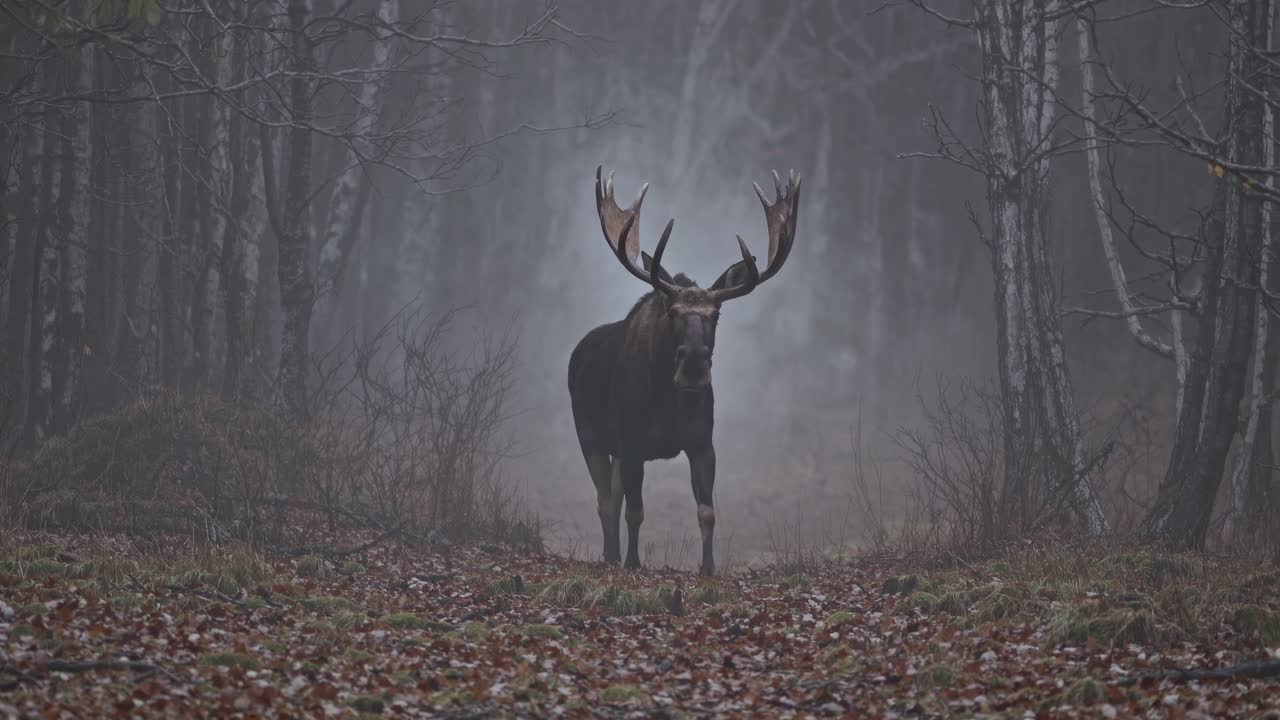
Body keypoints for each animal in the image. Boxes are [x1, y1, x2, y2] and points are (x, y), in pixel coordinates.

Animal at [568, 165, 801, 576]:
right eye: (672, 312)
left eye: (716, 314)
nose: (693, 366)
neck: (668, 404)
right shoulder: (631, 442)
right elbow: (636, 512)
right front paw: (633, 562)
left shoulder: (702, 442)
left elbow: (706, 512)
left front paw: (707, 567)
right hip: (589, 434)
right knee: (605, 500)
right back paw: (611, 555)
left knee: (612, 496)